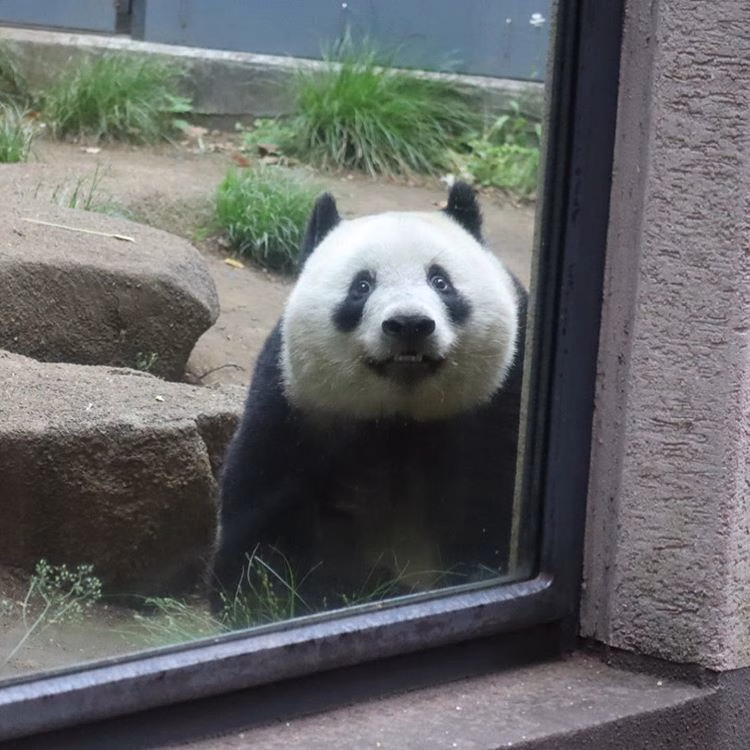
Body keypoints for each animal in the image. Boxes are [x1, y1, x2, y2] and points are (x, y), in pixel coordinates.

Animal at [210, 182, 527, 614]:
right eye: (362, 286)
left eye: (440, 282)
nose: (409, 324)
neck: (403, 416)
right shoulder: (295, 406)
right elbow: (258, 521)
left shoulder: (503, 399)